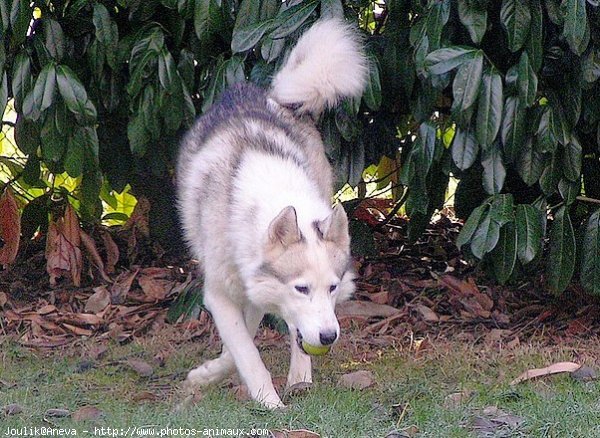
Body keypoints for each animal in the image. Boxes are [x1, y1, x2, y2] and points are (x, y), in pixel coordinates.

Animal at [176, 17, 368, 408]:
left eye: (333, 287)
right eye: (301, 288)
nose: (329, 336)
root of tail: (271, 97)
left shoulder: (255, 291)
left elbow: (245, 341)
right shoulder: (221, 292)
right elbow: (245, 350)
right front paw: (268, 402)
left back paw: (300, 379)